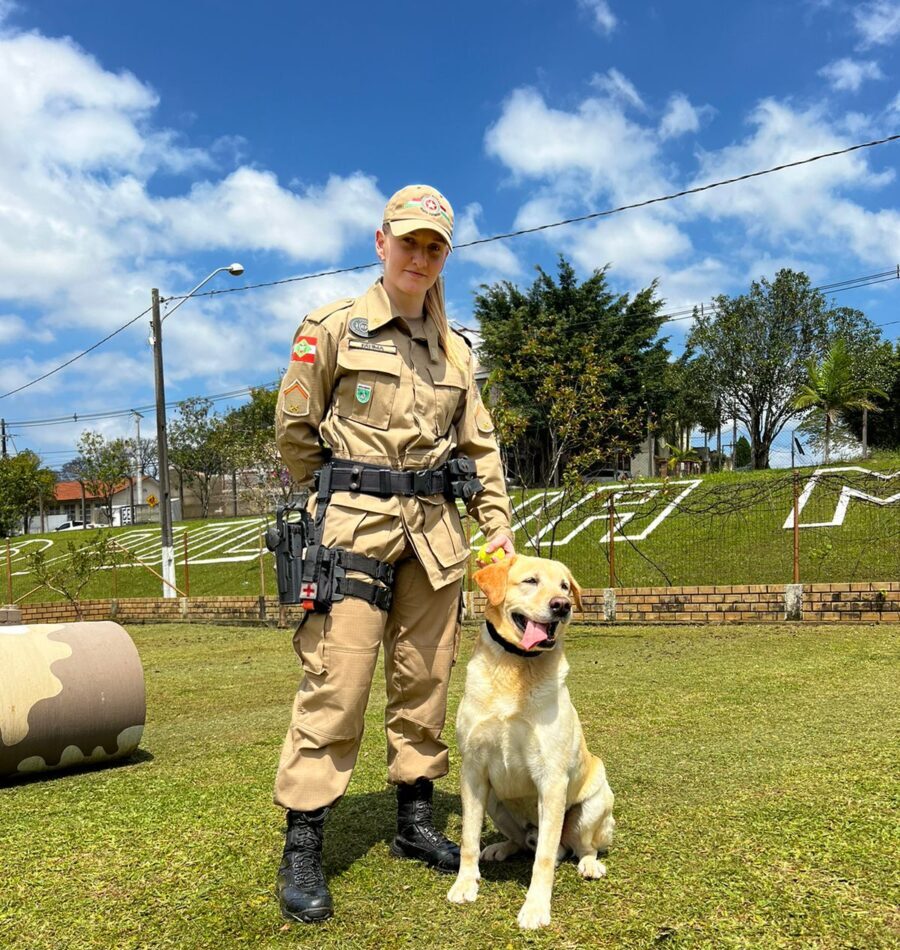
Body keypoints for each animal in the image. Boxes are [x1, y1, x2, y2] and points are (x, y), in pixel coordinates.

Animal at [446, 556, 616, 932]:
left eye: (564, 586)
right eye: (531, 581)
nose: (562, 606)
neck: (517, 666)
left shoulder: (551, 780)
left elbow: (545, 859)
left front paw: (536, 907)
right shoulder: (473, 771)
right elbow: (468, 838)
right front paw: (465, 884)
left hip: (593, 806)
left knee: (579, 846)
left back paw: (589, 864)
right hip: (496, 802)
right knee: (523, 841)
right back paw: (500, 847)